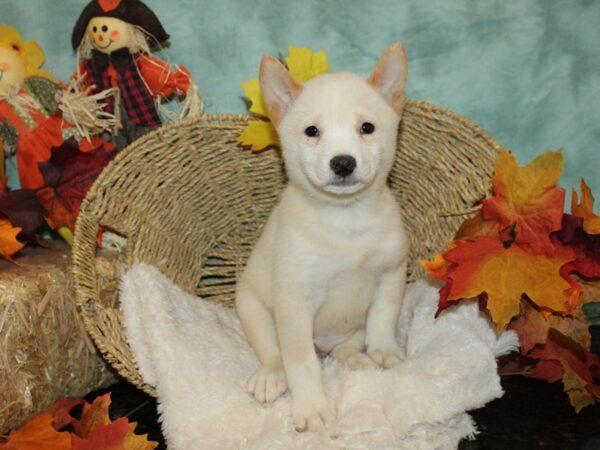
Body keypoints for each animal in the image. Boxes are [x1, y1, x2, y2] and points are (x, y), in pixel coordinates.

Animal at [237, 44, 410, 432]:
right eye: (312, 131)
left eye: (367, 128)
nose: (343, 163)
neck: (345, 221)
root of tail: (324, 343)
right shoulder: (294, 303)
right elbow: (300, 363)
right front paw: (312, 406)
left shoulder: (392, 275)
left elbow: (383, 317)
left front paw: (383, 349)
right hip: (254, 310)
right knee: (275, 354)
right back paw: (271, 376)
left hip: (349, 327)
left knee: (348, 345)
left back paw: (357, 358)